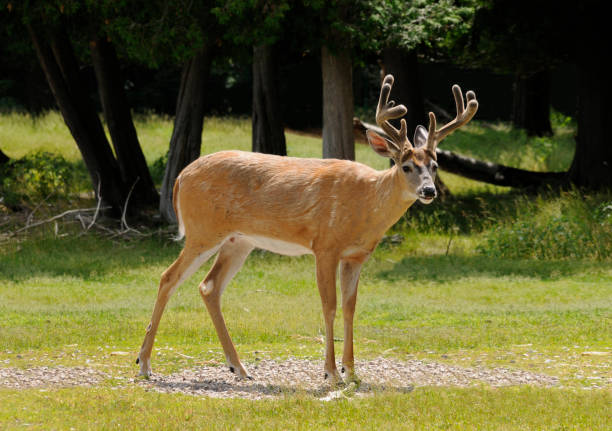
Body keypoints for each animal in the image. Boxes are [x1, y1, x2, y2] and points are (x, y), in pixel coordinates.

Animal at [137, 74, 478, 384]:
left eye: (434, 166)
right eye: (405, 166)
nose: (429, 191)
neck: (367, 203)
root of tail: (181, 177)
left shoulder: (356, 255)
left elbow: (351, 307)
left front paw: (353, 372)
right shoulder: (325, 245)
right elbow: (329, 305)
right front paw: (331, 373)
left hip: (239, 240)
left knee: (209, 286)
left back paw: (240, 369)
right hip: (202, 230)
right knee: (168, 277)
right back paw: (145, 365)